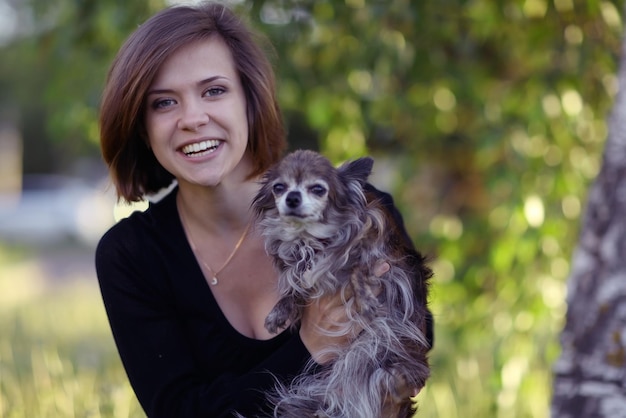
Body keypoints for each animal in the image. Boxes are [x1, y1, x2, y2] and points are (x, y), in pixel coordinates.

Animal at [251, 149, 432, 416]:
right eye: (279, 187)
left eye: (318, 189)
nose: (292, 197)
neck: (309, 237)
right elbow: (297, 285)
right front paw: (281, 311)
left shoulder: (382, 256)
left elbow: (358, 267)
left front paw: (365, 299)